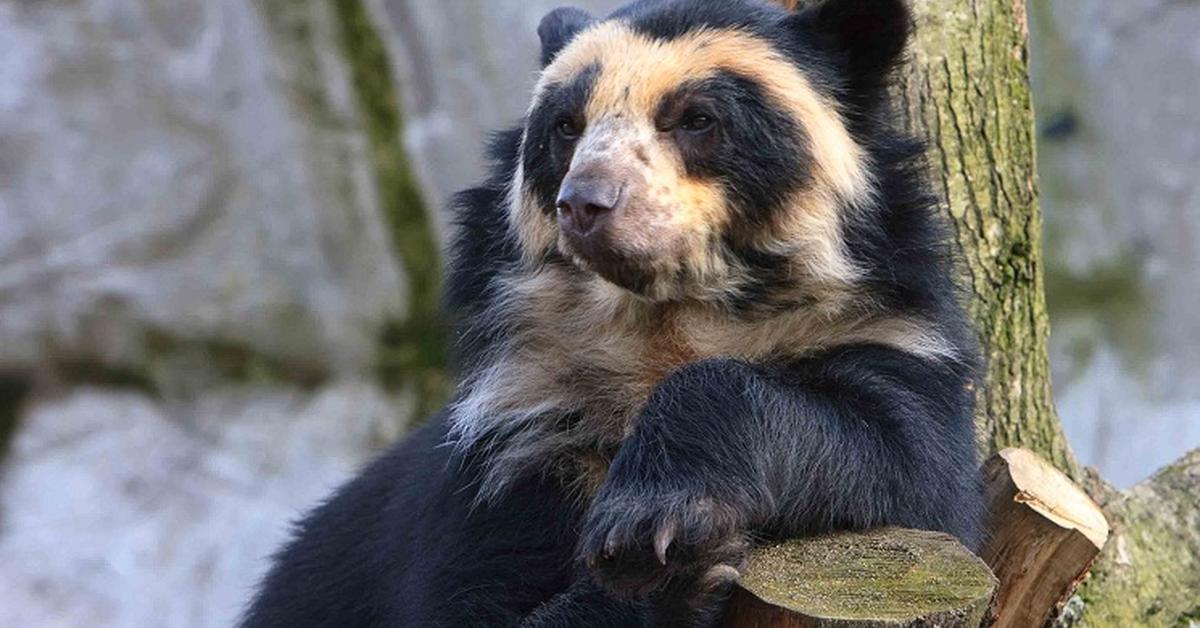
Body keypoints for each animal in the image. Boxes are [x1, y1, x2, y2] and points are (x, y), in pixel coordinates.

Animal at [241, 1, 984, 624]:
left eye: (697, 119)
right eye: (566, 127)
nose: (585, 203)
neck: (662, 320)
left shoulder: (886, 336)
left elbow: (908, 465)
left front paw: (651, 524)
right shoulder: (522, 439)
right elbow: (466, 597)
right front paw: (662, 575)